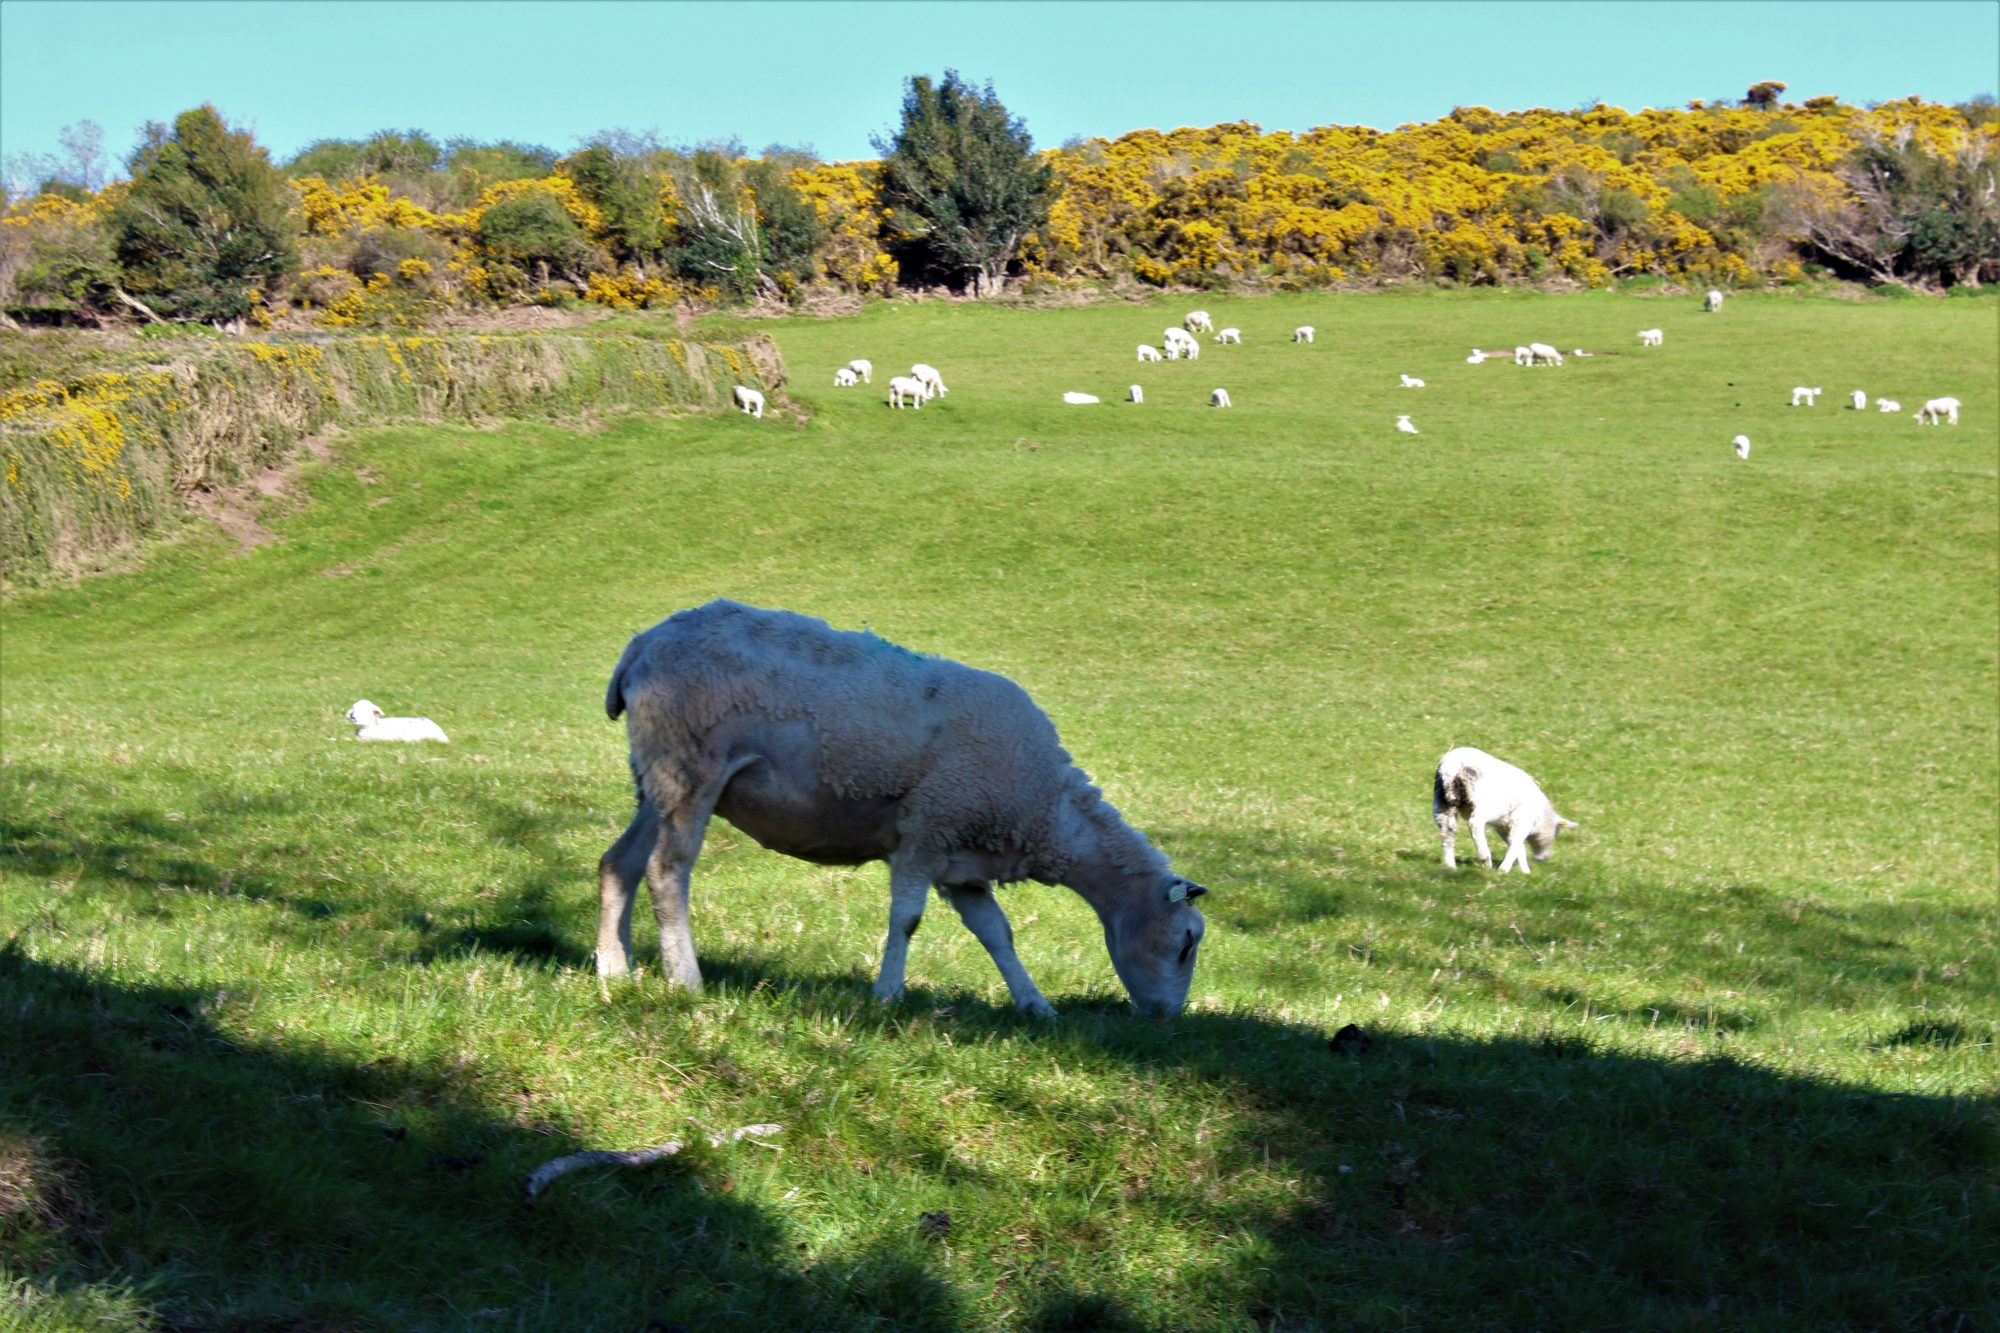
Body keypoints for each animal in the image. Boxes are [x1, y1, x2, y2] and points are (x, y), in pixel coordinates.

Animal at [597, 601, 1211, 1017]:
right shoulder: (928, 830)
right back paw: (685, 980)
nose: (1166, 1019)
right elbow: (907, 919)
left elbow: (998, 934)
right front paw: (887, 994)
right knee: (666, 872)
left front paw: (1036, 1005)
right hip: (691, 765)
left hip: (656, 772)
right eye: (1185, 942)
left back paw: (614, 971)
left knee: (618, 864)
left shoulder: (965, 861)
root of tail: (642, 644)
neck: (1049, 812)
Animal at [1433, 746, 1575, 874]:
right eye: (1556, 835)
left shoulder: (1503, 825)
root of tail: (1451, 768)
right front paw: (1505, 870)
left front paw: (1524, 870)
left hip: (1442, 803)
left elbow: (1516, 845)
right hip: (1487, 804)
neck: (1542, 816)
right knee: (1475, 823)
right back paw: (1485, 859)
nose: (1543, 858)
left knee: (1447, 831)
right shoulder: (1523, 821)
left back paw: (1450, 865)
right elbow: (1516, 842)